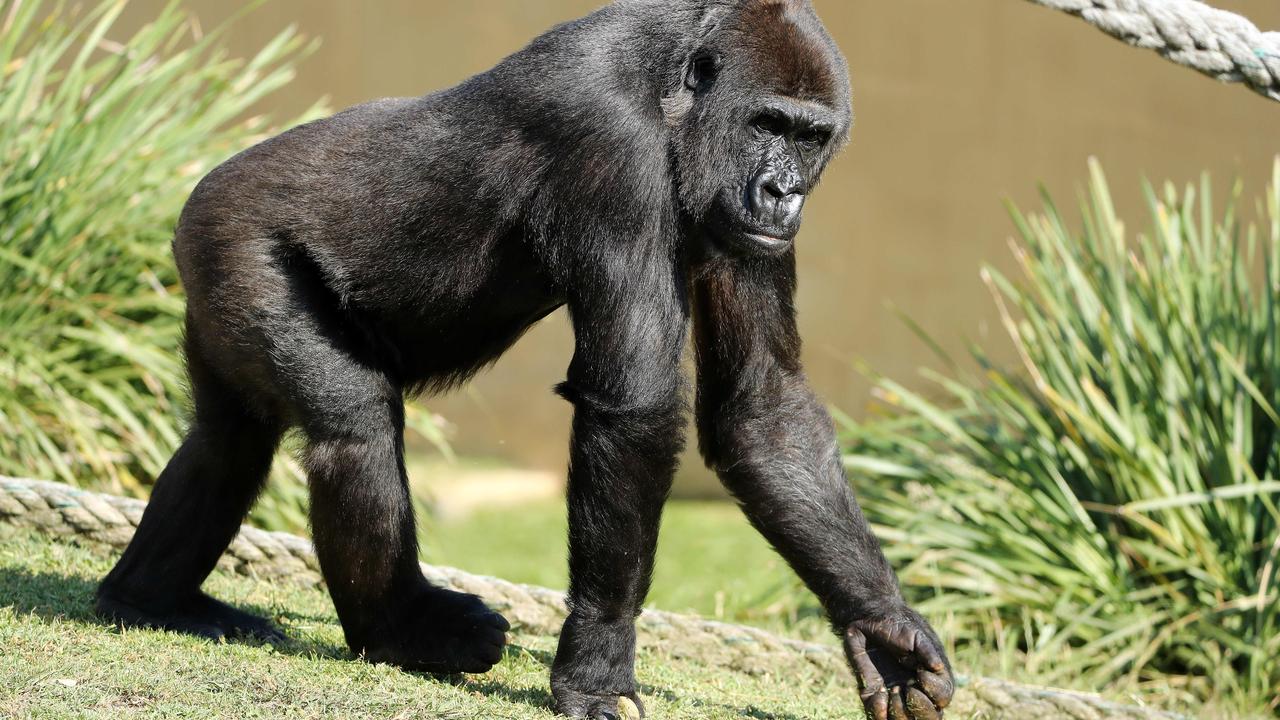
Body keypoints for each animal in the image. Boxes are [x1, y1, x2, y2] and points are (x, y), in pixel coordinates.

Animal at [97, 0, 952, 712]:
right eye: (768, 123)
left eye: (811, 137)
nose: (784, 193)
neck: (678, 84)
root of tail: (200, 192)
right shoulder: (609, 139)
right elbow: (634, 404)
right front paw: (599, 661)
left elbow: (763, 411)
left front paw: (882, 629)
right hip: (233, 240)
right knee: (352, 430)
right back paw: (402, 629)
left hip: (210, 280)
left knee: (228, 440)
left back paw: (149, 598)